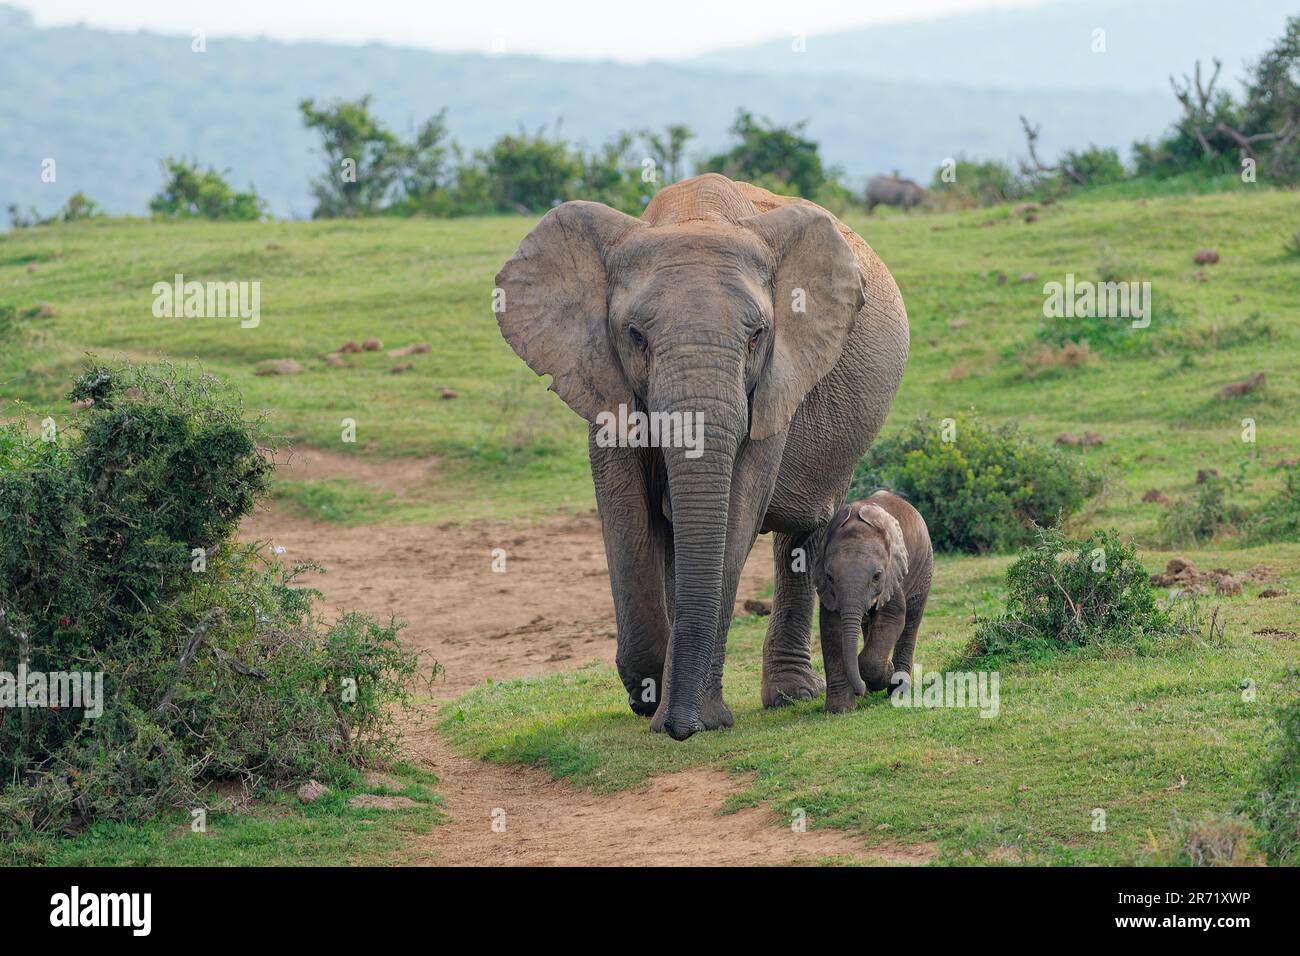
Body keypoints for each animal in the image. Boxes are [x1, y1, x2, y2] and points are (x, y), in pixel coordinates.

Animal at [491, 174, 909, 738]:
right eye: (636, 336)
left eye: (757, 335)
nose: (678, 728)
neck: (692, 214)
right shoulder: (604, 376)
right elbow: (627, 512)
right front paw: (649, 696)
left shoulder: (778, 376)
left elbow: (738, 506)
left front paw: (696, 715)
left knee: (805, 533)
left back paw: (791, 695)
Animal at [816, 494, 930, 712]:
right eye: (830, 577)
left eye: (877, 576)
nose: (858, 691)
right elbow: (830, 626)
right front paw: (839, 710)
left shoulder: (892, 574)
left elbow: (892, 618)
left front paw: (887, 672)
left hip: (924, 565)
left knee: (912, 619)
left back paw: (898, 688)